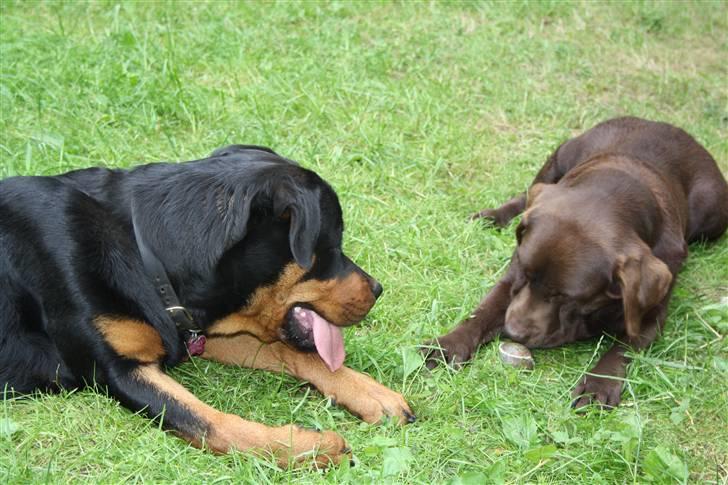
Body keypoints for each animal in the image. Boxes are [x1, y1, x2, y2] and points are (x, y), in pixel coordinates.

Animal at [0, 145, 412, 466]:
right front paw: (310, 447)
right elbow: (215, 423)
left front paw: (371, 392)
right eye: (333, 246)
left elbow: (291, 351)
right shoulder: (119, 371)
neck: (145, 254)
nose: (378, 289)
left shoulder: (194, 331)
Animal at [424, 117, 724, 408]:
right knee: (528, 191)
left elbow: (622, 346)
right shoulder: (512, 278)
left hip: (713, 212)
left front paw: (599, 384)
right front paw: (447, 345)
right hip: (560, 155)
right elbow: (482, 313)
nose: (513, 332)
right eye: (526, 275)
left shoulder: (651, 312)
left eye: (566, 297)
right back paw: (494, 215)